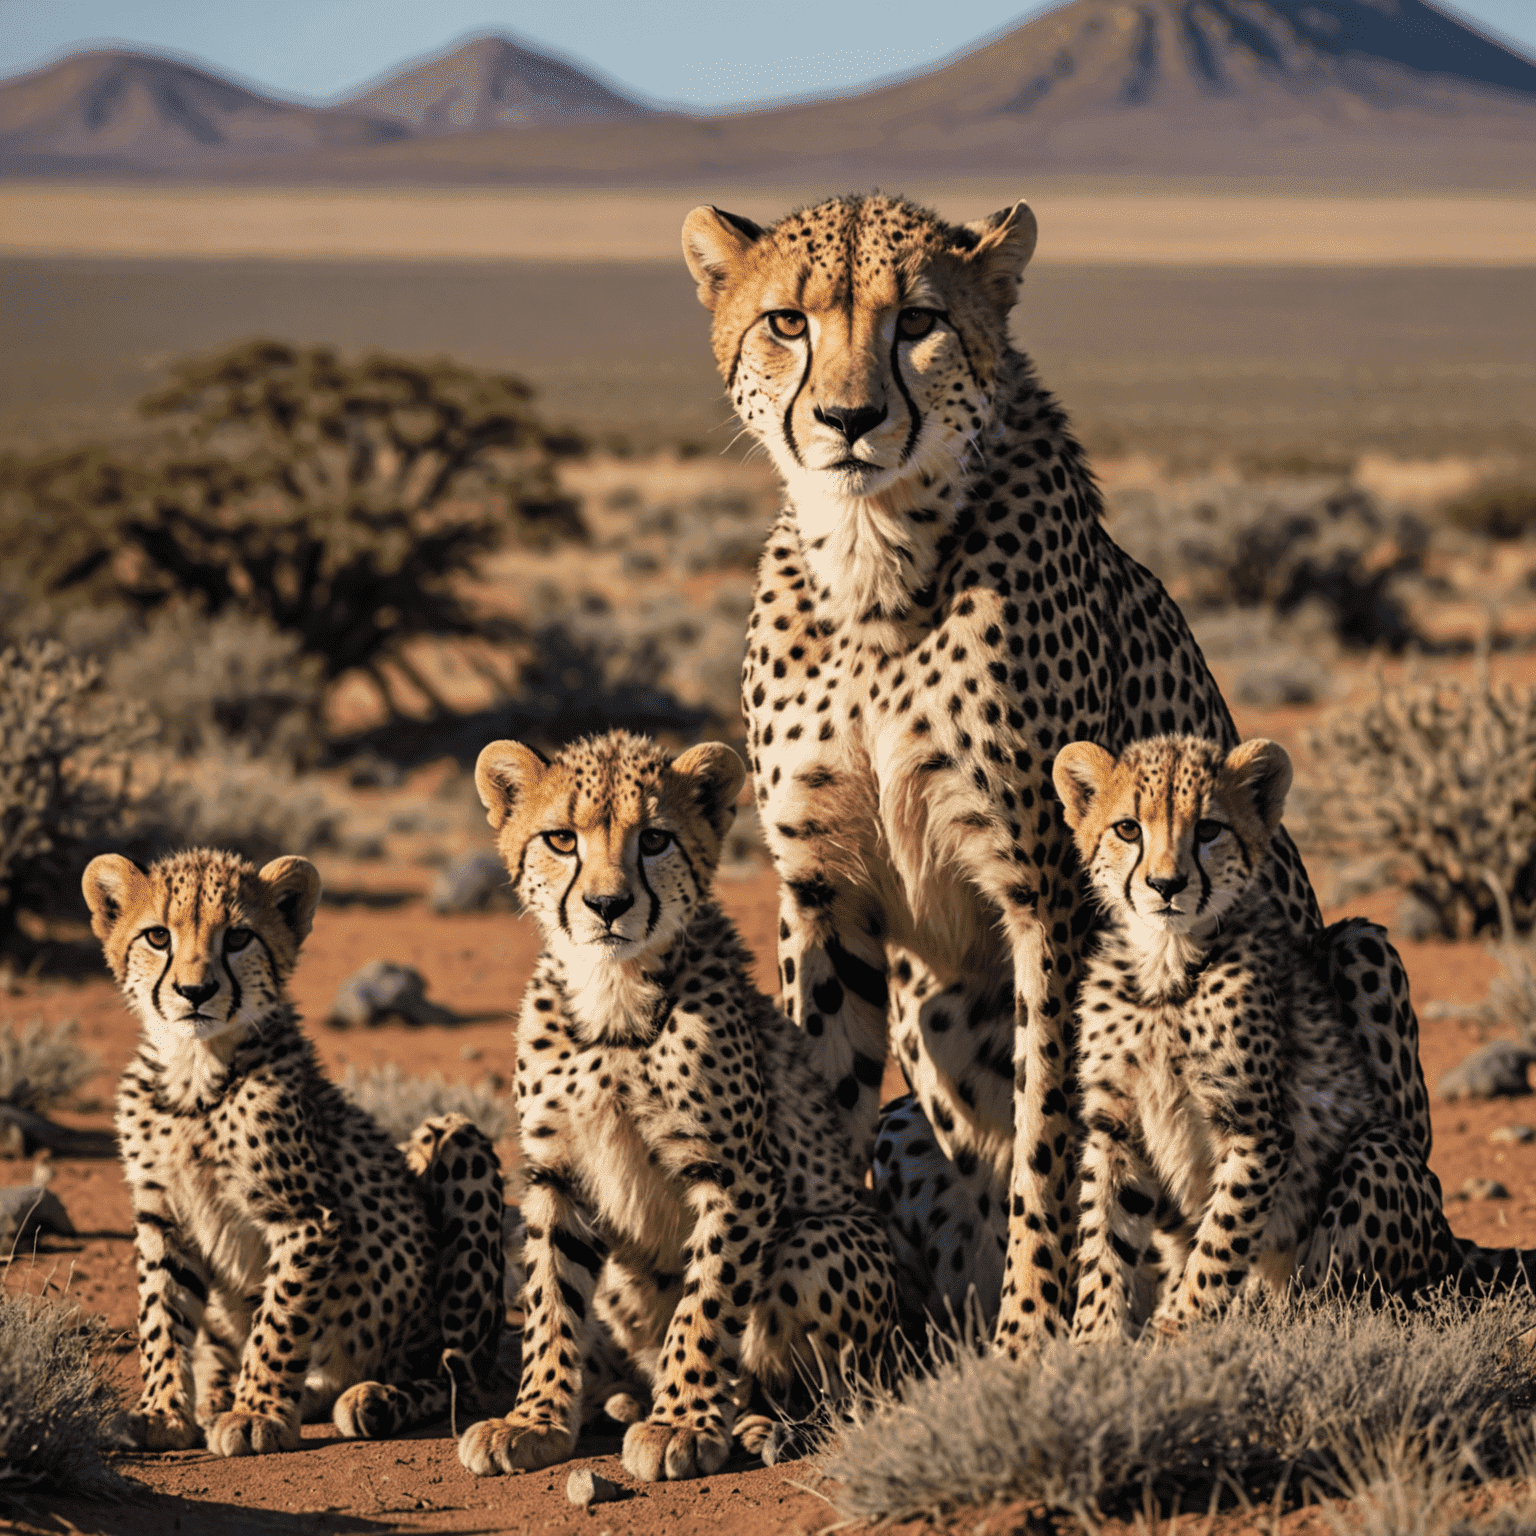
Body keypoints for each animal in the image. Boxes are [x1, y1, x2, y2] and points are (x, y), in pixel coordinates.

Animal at [85, 847, 503, 1456]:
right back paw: (220, 1393)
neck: (193, 1074)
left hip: (456, 1140)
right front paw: (162, 1412)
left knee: (458, 1376)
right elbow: (160, 1316)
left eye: (238, 937)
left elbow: (279, 1320)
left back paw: (375, 1398)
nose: (194, 991)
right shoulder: (163, 1215)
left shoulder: (306, 1217)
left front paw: (256, 1412)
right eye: (158, 936)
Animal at [685, 188, 1425, 1345]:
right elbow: (815, 1101)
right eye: (787, 323)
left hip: (1361, 969)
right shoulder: (821, 890)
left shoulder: (1052, 894)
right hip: (914, 1087)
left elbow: (1054, 1131)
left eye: (918, 321)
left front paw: (1035, 1337)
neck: (872, 557)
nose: (847, 421)